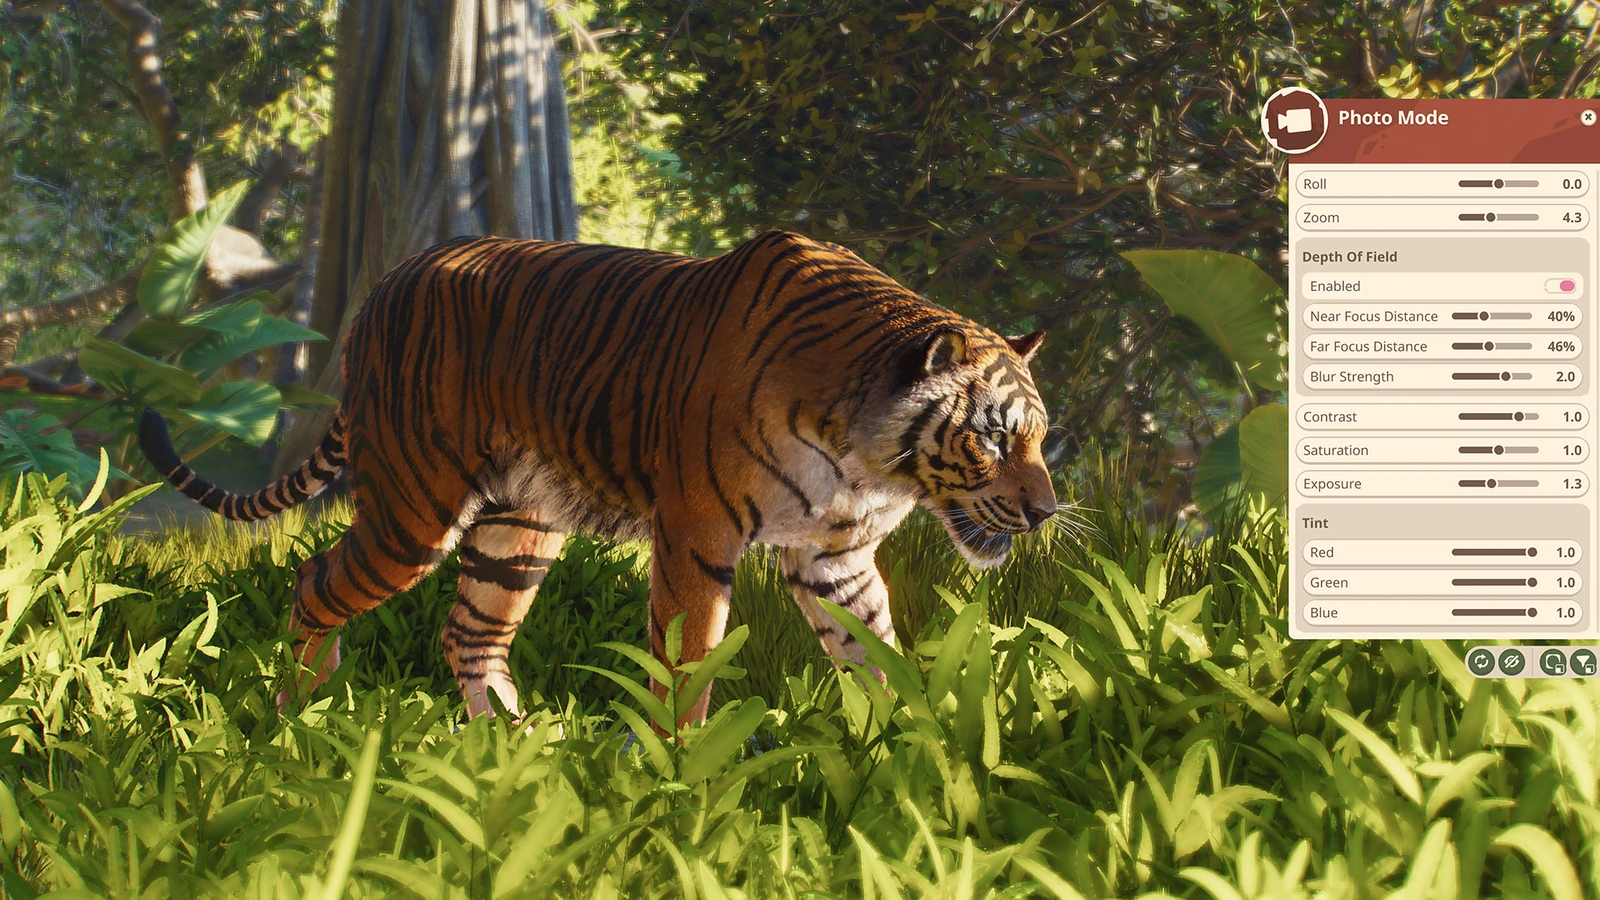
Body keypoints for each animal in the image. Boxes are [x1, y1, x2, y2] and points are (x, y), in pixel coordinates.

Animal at [139, 230, 1057, 726]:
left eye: (1043, 439)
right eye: (993, 437)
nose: (1047, 512)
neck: (865, 456)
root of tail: (383, 285)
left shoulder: (835, 559)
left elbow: (878, 652)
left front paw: (910, 744)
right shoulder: (697, 535)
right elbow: (687, 664)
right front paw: (683, 773)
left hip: (518, 526)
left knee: (470, 634)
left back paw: (515, 747)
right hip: (413, 508)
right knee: (314, 578)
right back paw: (301, 714)